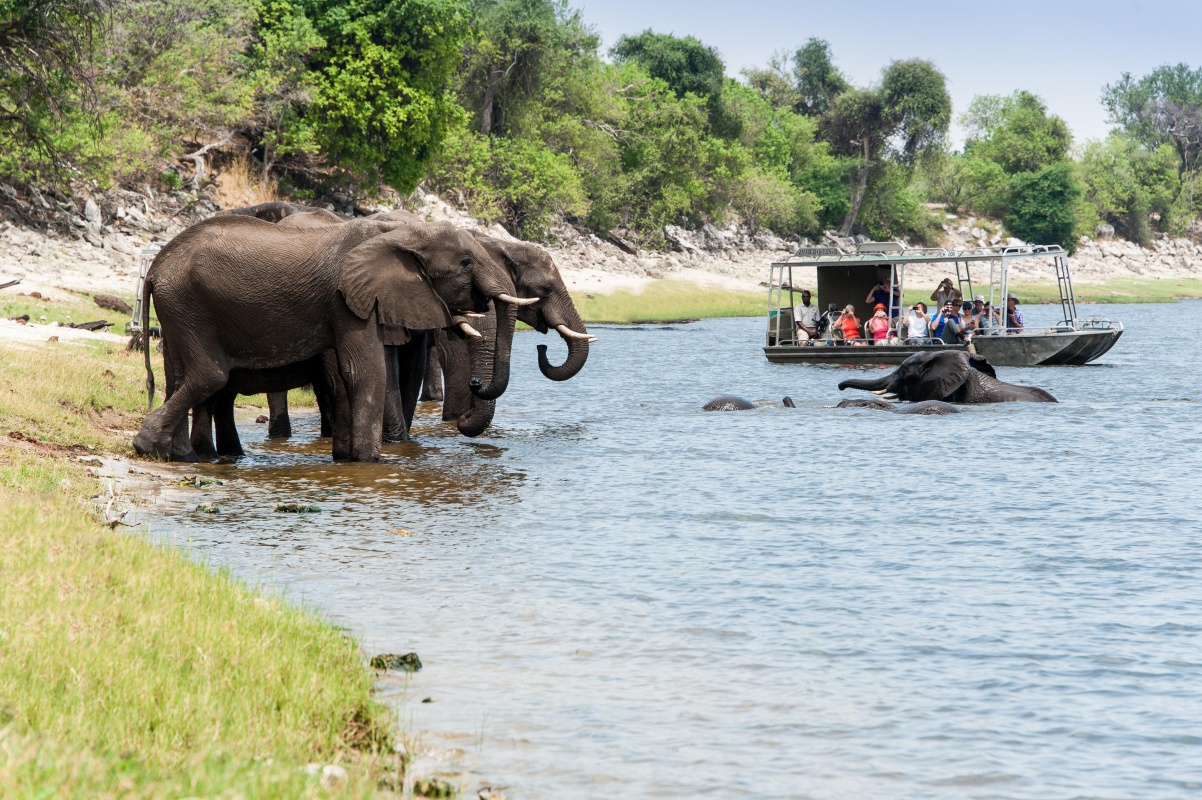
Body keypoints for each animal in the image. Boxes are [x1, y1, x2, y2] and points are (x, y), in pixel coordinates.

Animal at [134, 215, 523, 462]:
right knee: (210, 375)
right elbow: (367, 371)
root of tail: (155, 267)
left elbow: (346, 375)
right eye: (467, 263)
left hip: (178, 308)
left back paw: (183, 457)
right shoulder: (344, 298)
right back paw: (149, 446)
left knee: (179, 376)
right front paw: (368, 463)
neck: (401, 232)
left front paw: (345, 460)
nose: (475, 383)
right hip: (190, 304)